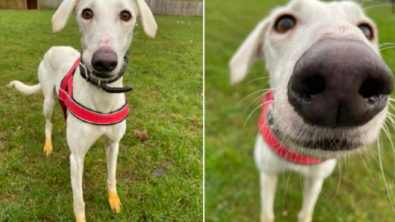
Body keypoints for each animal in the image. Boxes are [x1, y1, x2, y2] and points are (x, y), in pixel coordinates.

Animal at [9, 0, 158, 221]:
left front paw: (113, 200)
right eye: (86, 13)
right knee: (48, 123)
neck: (102, 95)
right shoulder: (77, 158)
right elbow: (79, 202)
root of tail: (54, 48)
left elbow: (111, 177)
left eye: (126, 15)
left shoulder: (113, 144)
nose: (104, 62)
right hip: (48, 101)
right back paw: (48, 144)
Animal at [230, 0, 394, 222]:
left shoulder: (316, 179)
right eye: (284, 23)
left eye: (367, 30)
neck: (298, 154)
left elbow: (306, 211)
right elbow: (267, 213)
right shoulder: (267, 173)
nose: (344, 74)